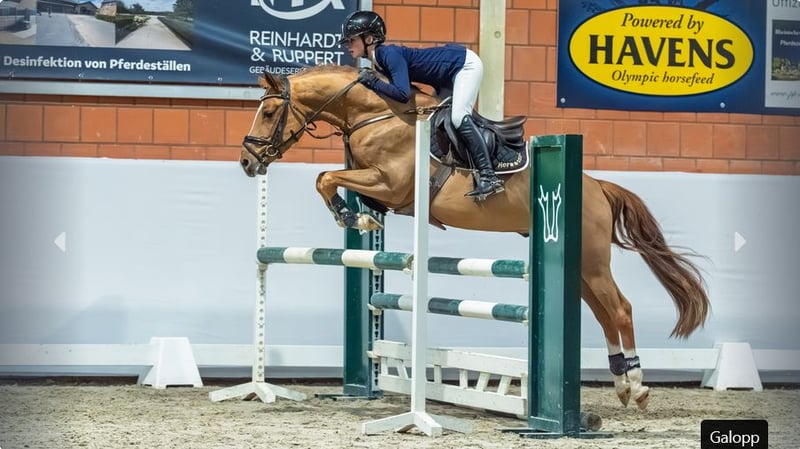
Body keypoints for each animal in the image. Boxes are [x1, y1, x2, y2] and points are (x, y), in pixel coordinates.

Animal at [239, 65, 710, 410]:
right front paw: (361, 220)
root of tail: (596, 186)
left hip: (592, 262)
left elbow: (324, 177)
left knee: (621, 309)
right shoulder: (378, 186)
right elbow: (330, 179)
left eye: (268, 113)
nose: (247, 162)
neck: (375, 114)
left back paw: (638, 385)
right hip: (579, 267)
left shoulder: (391, 184)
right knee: (603, 313)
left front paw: (352, 218)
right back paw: (622, 385)